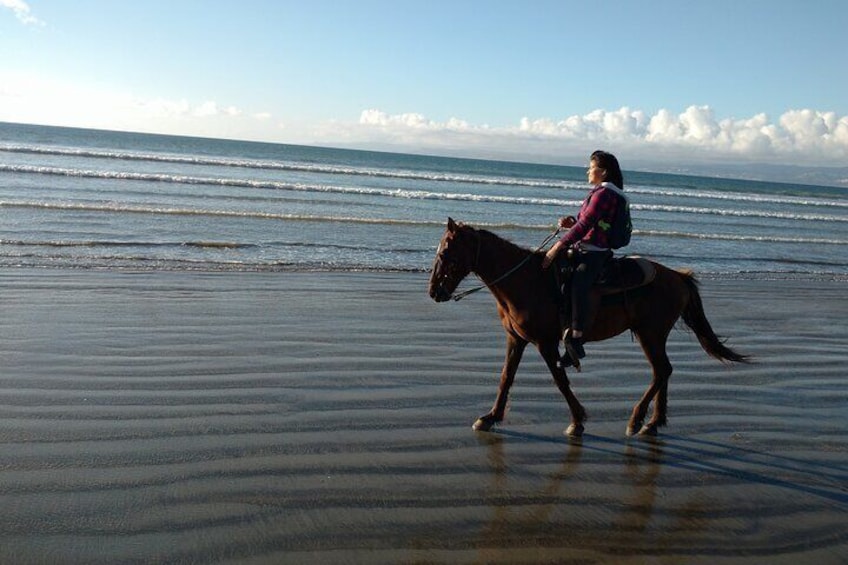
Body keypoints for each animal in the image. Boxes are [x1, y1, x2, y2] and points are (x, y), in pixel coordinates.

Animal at [430, 216, 748, 436]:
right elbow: (506, 377)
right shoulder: (516, 339)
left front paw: (577, 420)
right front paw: (490, 417)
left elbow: (560, 380)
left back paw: (637, 421)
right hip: (653, 336)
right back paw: (653, 423)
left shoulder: (546, 343)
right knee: (664, 371)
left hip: (650, 334)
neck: (526, 281)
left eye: (445, 254)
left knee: (662, 371)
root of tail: (678, 277)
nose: (434, 292)